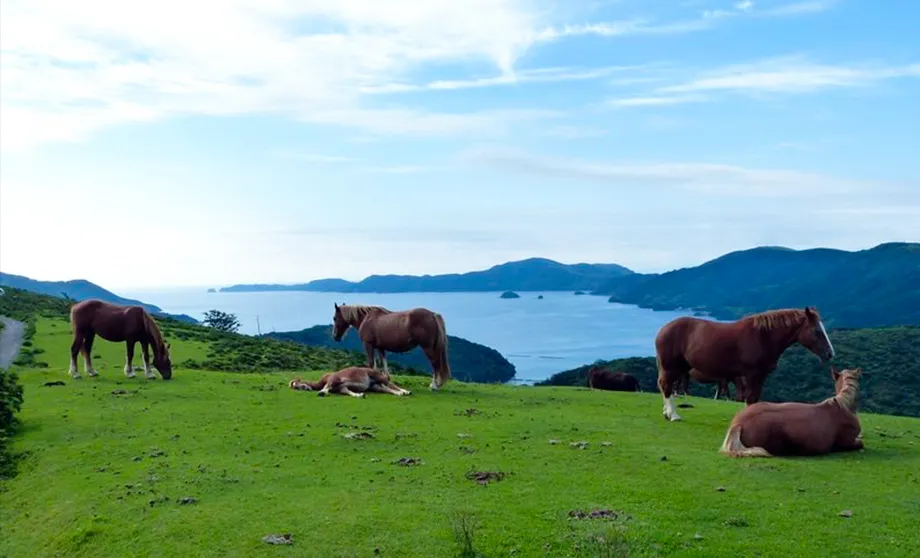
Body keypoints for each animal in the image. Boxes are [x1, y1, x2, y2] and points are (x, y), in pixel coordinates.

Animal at [656, 308, 832, 422]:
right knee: (666, 386)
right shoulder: (752, 374)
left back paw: (666, 413)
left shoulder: (760, 376)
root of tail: (663, 329)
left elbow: (755, 398)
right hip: (671, 366)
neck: (762, 336)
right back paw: (673, 415)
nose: (830, 353)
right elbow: (751, 398)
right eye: (816, 331)